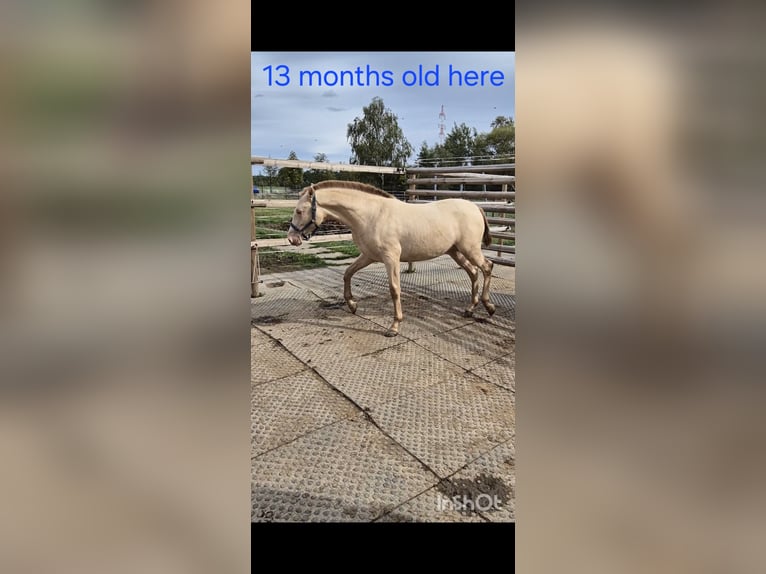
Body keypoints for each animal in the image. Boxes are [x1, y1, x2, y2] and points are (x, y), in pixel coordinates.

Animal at [287, 180, 496, 336]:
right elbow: (347, 274)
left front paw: (394, 327)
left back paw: (489, 307)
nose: (292, 239)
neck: (371, 215)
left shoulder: (391, 258)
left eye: (299, 211)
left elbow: (394, 289)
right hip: (456, 252)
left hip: (469, 249)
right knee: (473, 272)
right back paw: (470, 309)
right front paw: (353, 305)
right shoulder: (368, 256)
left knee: (486, 267)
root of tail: (476, 207)